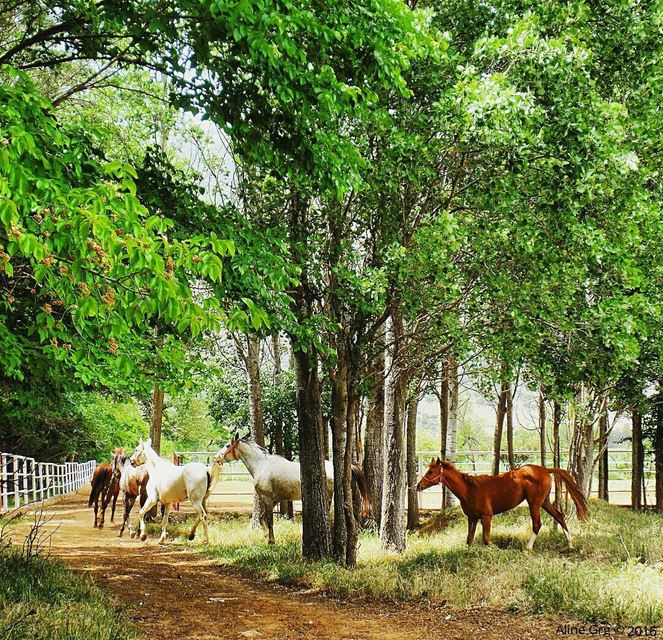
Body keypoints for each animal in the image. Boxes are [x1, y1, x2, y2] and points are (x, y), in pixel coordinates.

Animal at [219, 432, 370, 544]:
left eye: (227, 445)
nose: (217, 458)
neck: (262, 465)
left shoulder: (267, 498)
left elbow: (269, 520)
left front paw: (271, 541)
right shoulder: (275, 500)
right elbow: (262, 518)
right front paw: (265, 536)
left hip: (328, 496)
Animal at [418, 460, 588, 552]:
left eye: (431, 471)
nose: (418, 486)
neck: (469, 489)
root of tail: (545, 469)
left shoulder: (486, 517)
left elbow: (486, 539)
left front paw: (496, 548)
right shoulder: (472, 518)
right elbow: (469, 540)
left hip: (534, 503)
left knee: (537, 524)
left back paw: (528, 548)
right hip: (544, 502)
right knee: (559, 516)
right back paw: (570, 545)